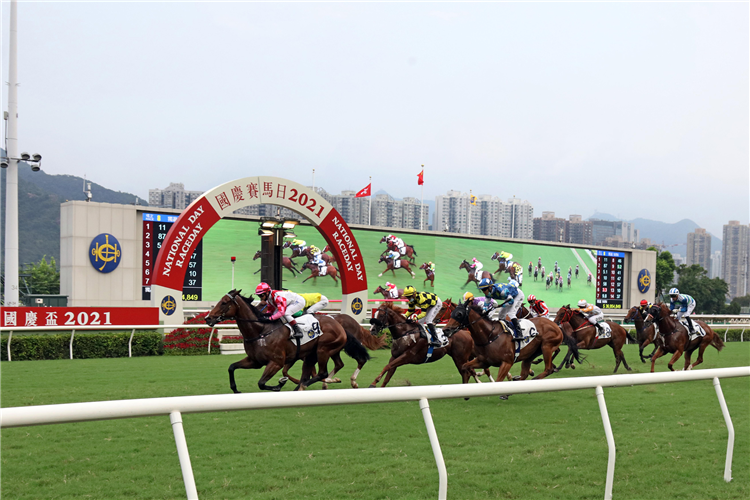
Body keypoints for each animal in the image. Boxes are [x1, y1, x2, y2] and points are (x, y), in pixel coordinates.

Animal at [204, 292, 356, 392]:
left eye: (224, 303)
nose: (208, 318)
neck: (260, 331)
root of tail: (337, 323)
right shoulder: (255, 361)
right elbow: (231, 367)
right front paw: (235, 389)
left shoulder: (276, 362)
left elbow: (261, 383)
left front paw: (279, 384)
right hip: (311, 355)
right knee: (312, 372)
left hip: (323, 349)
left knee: (322, 373)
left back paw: (305, 385)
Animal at [446, 298, 580, 380]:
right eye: (451, 313)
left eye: (459, 314)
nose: (446, 329)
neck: (490, 335)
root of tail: (556, 325)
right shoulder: (483, 360)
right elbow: (465, 367)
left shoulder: (506, 362)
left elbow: (498, 380)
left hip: (547, 346)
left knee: (548, 368)